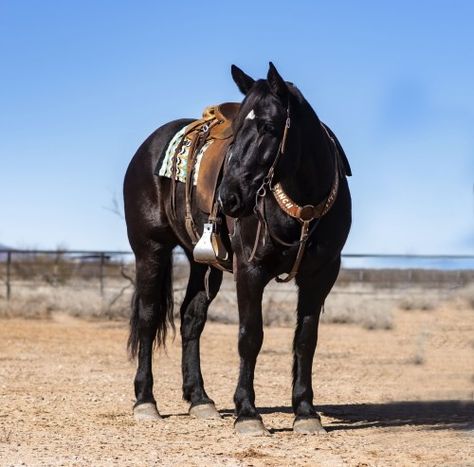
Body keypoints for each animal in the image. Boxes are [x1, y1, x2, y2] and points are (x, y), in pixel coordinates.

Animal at [123, 62, 352, 436]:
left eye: (269, 126)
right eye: (239, 126)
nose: (227, 198)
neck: (302, 206)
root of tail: (147, 147)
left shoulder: (321, 275)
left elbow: (306, 340)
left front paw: (306, 412)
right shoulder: (250, 270)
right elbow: (250, 336)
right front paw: (247, 413)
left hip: (203, 262)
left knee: (191, 318)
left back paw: (200, 399)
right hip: (150, 250)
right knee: (148, 317)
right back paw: (145, 401)